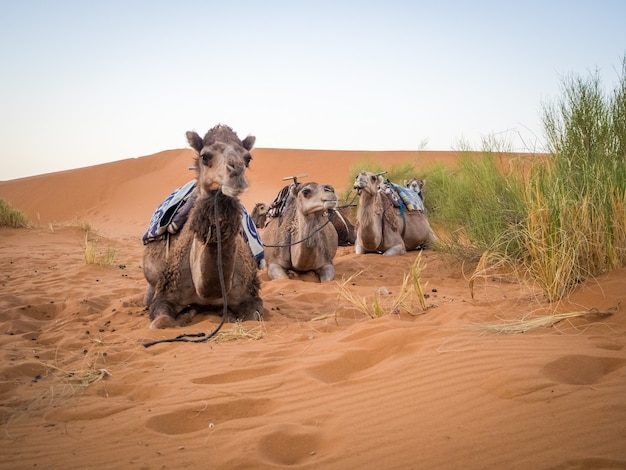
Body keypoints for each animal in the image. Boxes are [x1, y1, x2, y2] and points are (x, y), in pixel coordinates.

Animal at [143, 125, 262, 330]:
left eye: (248, 158)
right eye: (205, 156)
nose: (236, 173)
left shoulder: (251, 297)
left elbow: (253, 318)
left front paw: (228, 315)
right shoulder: (164, 294)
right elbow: (162, 321)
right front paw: (187, 314)